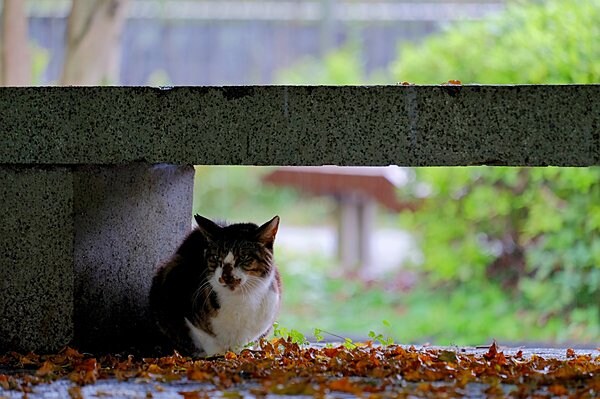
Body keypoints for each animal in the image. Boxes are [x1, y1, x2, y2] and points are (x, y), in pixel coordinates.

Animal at [149, 216, 282, 356]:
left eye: (244, 257)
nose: (226, 275)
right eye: (215, 257)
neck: (239, 300)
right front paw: (218, 354)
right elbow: (208, 339)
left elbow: (248, 342)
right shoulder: (187, 312)